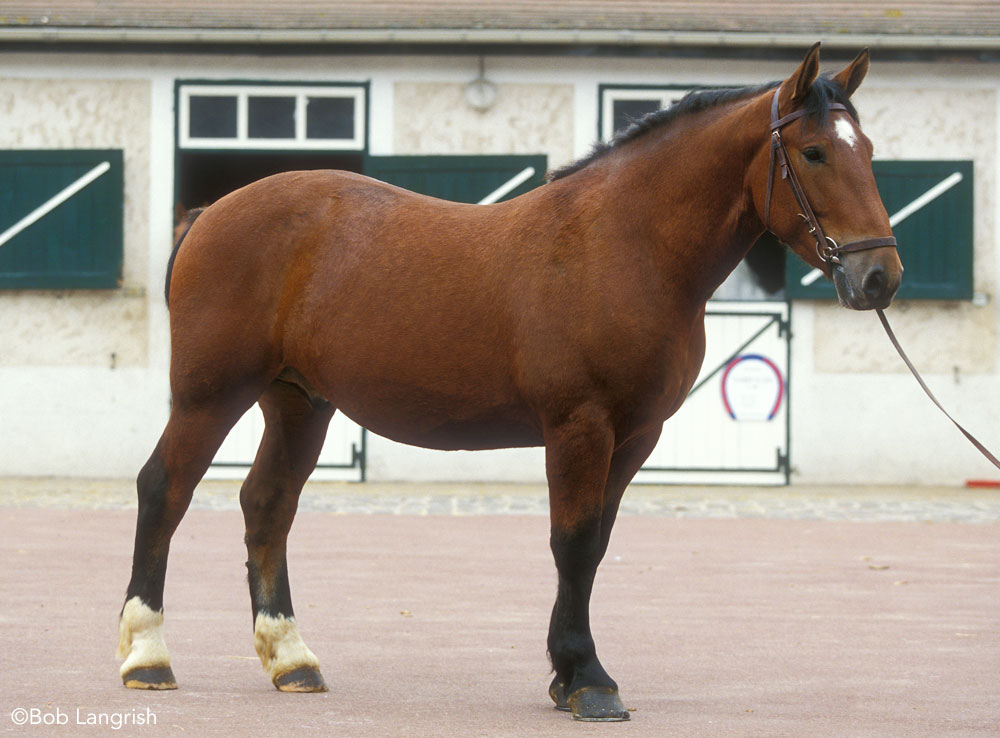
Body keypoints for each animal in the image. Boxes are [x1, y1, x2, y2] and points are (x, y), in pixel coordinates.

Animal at [119, 46, 908, 720]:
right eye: (814, 152)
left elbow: (595, 546)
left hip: (298, 402)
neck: (623, 245)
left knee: (267, 505)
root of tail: (210, 213)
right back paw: (147, 655)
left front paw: (567, 674)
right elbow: (574, 543)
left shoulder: (635, 437)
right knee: (165, 490)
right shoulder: (580, 426)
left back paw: (292, 660)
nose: (880, 277)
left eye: (869, 152)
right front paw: (587, 679)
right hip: (209, 395)